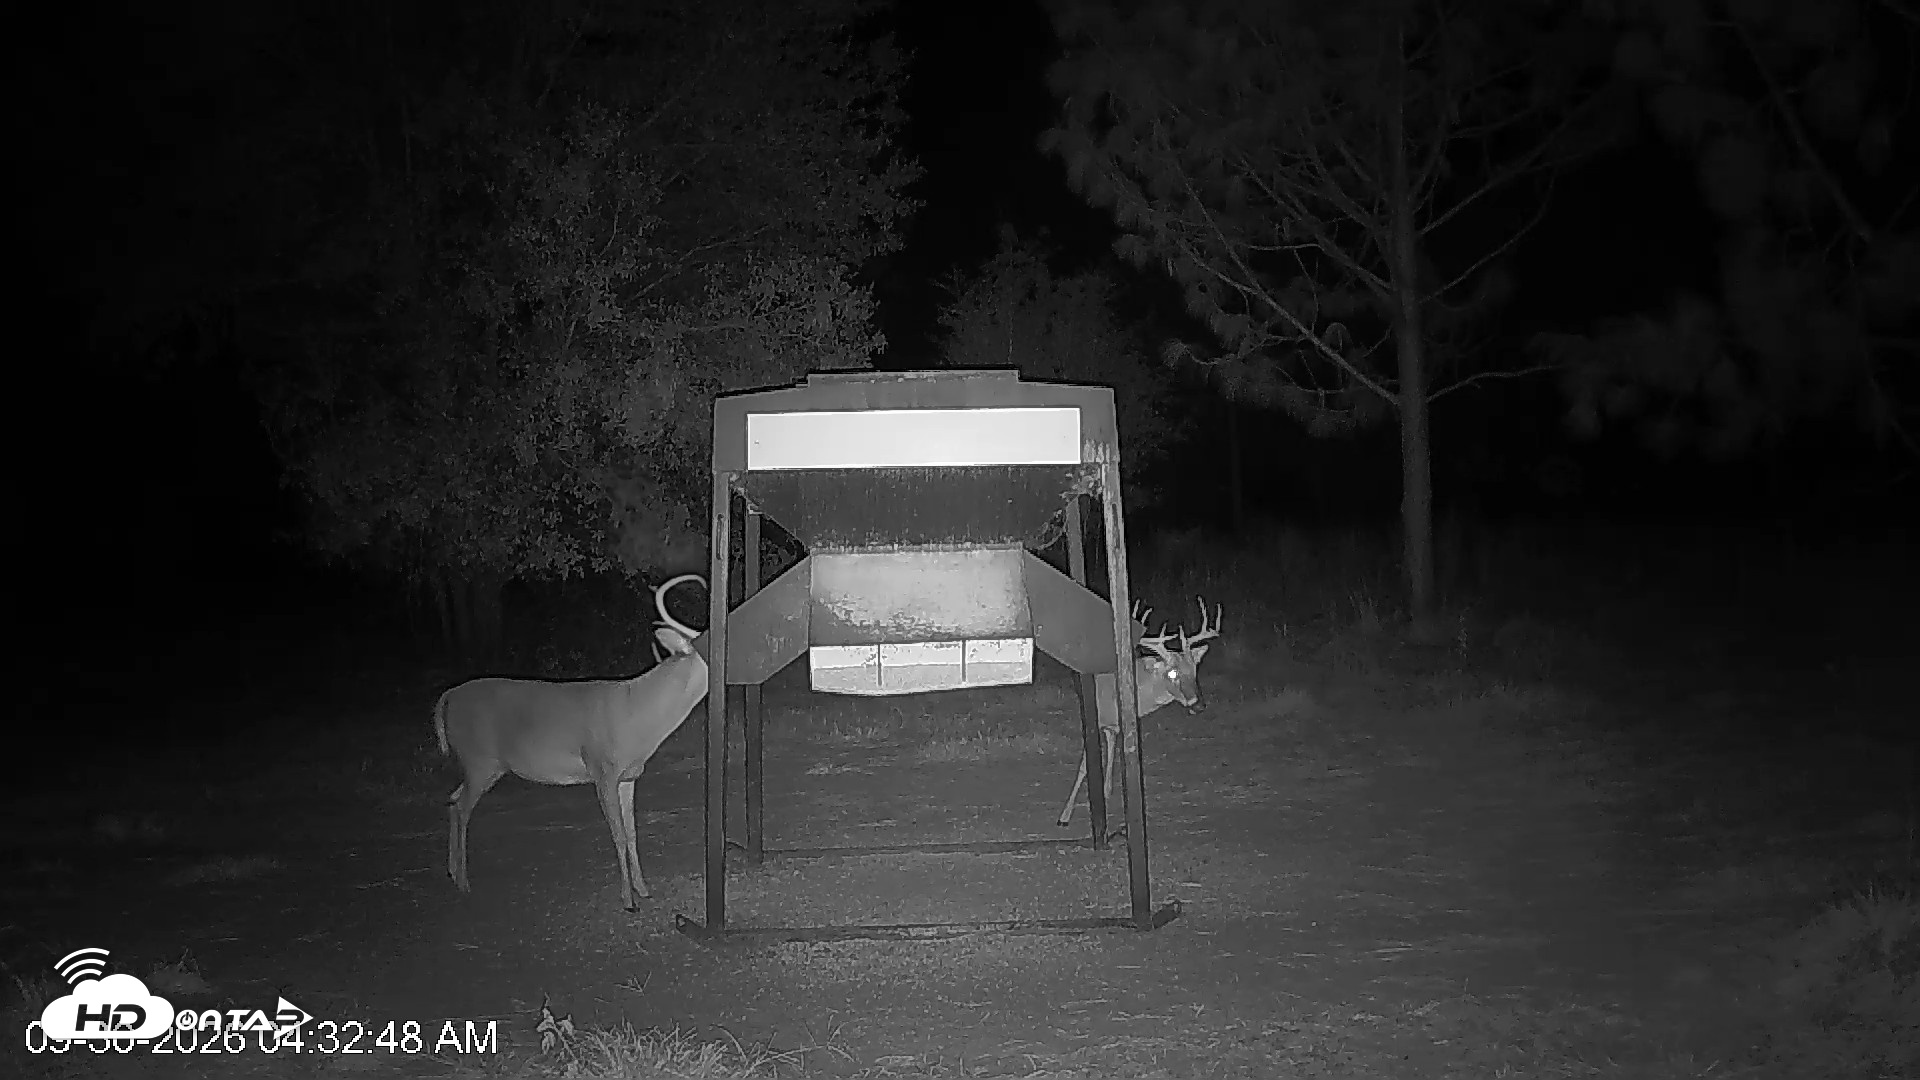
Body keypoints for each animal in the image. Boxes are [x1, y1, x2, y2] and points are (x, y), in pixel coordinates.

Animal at [434, 573, 709, 909]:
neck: (639, 715)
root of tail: (447, 697)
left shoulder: (629, 775)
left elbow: (632, 833)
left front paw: (644, 889)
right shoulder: (602, 768)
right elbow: (618, 834)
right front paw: (627, 900)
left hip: (480, 766)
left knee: (452, 799)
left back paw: (452, 873)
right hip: (480, 760)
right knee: (461, 808)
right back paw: (463, 882)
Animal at [1058, 595, 1222, 829]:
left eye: (1194, 670)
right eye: (1172, 673)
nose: (1198, 705)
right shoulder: (1093, 718)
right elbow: (1084, 766)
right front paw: (1064, 815)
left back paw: (1107, 789)